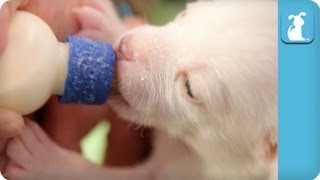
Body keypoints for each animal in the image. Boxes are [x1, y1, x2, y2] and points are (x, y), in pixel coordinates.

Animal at [4, 0, 278, 179]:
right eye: (184, 14)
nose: (126, 48)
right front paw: (109, 25)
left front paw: (44, 160)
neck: (192, 151)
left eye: (189, 88)